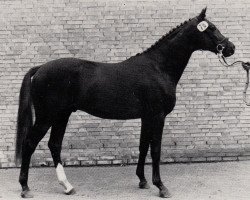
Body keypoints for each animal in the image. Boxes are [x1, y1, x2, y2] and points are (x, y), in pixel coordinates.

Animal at [15, 8, 234, 198]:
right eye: (212, 28)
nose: (231, 48)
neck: (158, 67)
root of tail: (40, 68)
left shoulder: (147, 117)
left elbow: (143, 146)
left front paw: (142, 181)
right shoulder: (158, 116)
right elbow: (156, 150)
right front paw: (161, 186)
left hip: (62, 115)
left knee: (54, 144)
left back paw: (67, 186)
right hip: (47, 117)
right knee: (29, 143)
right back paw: (25, 188)